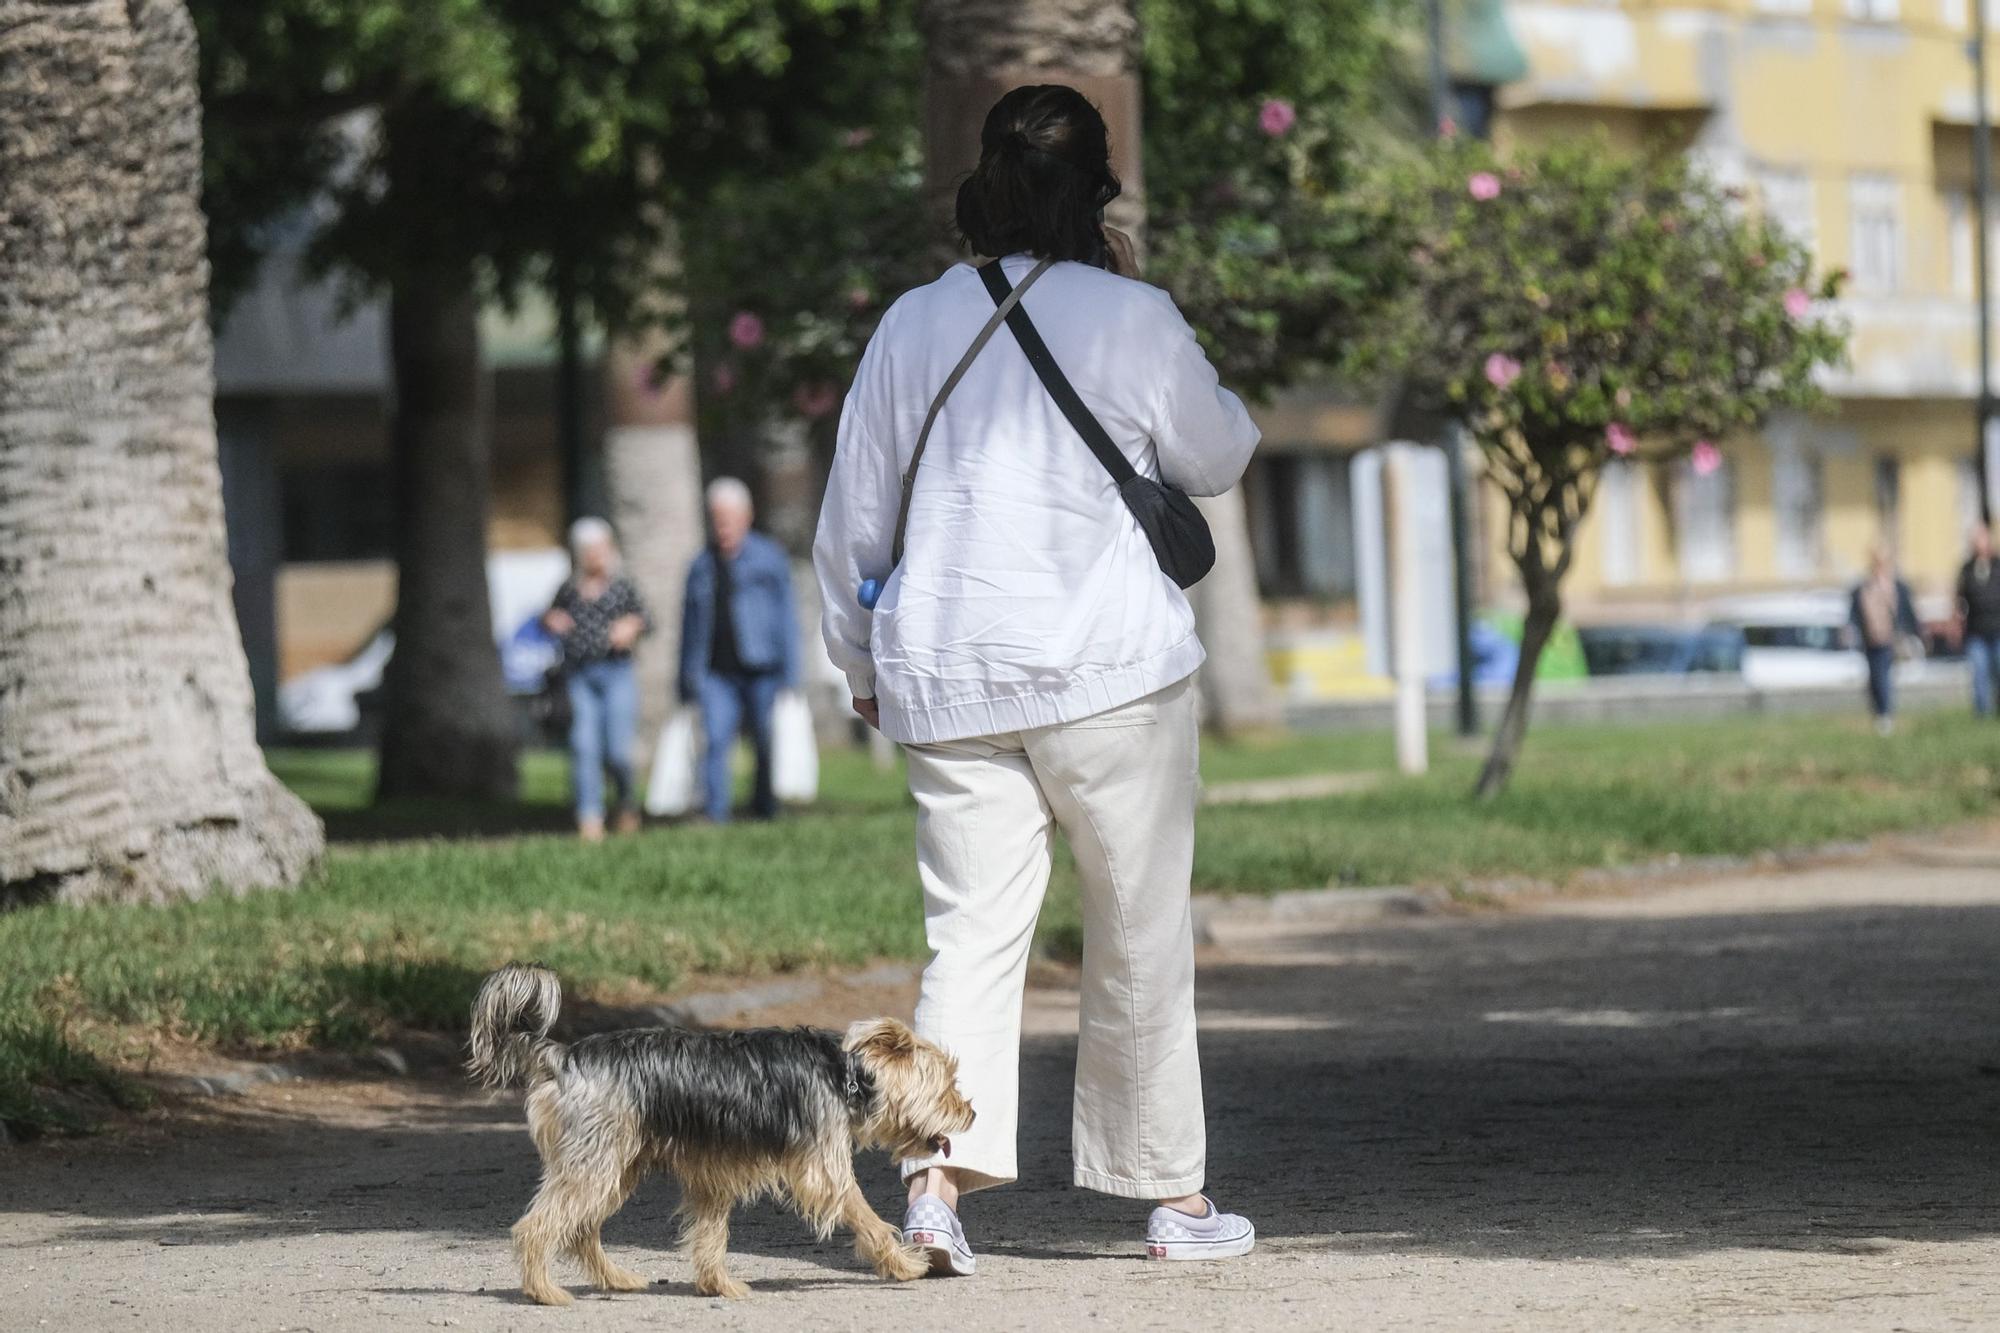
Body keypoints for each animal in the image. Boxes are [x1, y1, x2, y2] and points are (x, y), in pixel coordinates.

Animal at [468, 960, 968, 1304]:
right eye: (947, 1085)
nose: (972, 1113)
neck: (846, 1073)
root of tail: (562, 1057)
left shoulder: (713, 1177)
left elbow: (711, 1235)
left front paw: (717, 1284)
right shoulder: (824, 1172)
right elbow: (867, 1218)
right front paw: (904, 1264)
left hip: (614, 1165)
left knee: (579, 1229)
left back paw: (616, 1279)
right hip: (596, 1162)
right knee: (537, 1227)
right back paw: (544, 1292)